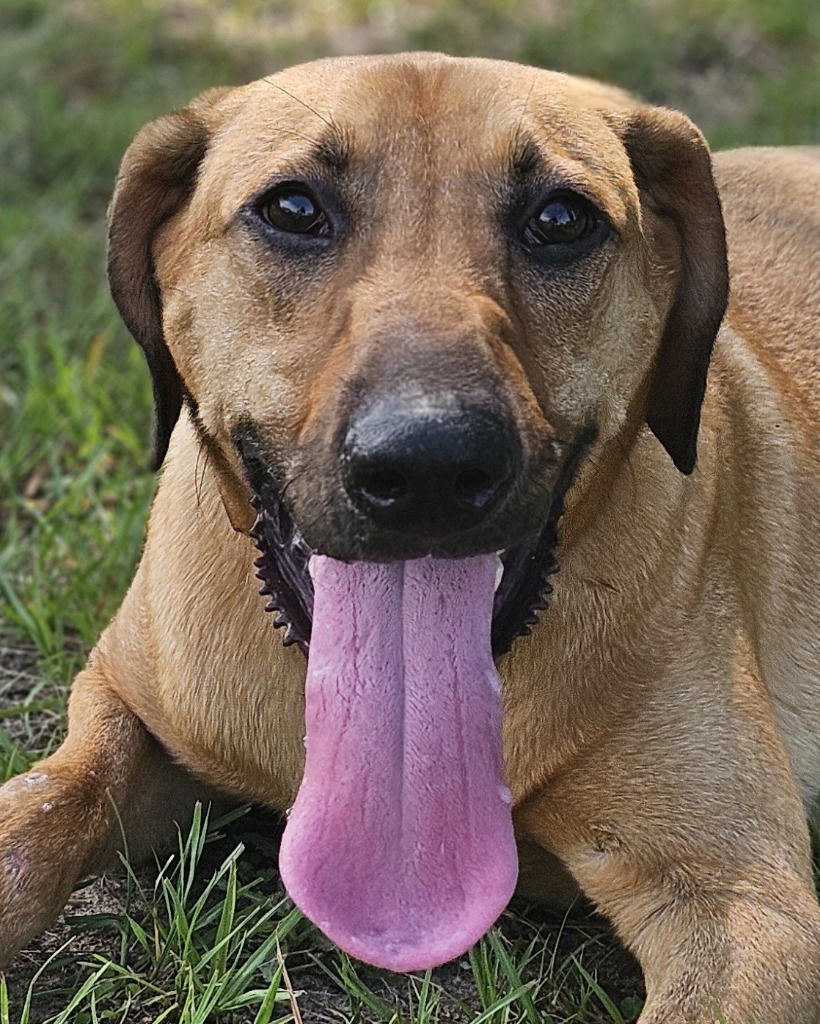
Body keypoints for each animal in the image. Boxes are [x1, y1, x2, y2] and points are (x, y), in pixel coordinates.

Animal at [1, 54, 818, 1024]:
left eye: (561, 219)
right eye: (292, 208)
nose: (431, 464)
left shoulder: (741, 905)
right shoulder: (123, 701)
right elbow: (43, 807)